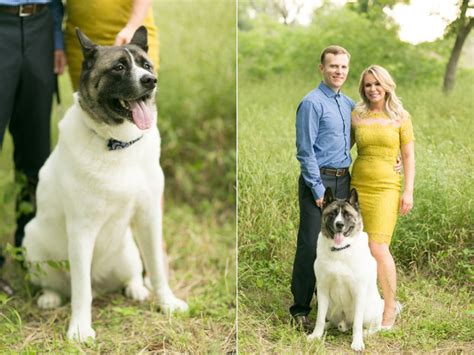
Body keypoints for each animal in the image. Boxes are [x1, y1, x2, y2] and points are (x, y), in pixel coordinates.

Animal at [22, 26, 187, 344]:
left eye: (146, 65)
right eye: (119, 68)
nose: (150, 81)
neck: (118, 143)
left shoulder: (149, 217)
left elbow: (157, 268)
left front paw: (167, 303)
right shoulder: (81, 230)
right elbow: (80, 290)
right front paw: (79, 328)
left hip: (128, 250)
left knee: (131, 274)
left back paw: (136, 288)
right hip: (32, 242)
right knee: (64, 286)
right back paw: (50, 297)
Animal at [308, 188, 386, 352]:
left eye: (347, 215)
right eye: (332, 214)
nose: (339, 224)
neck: (340, 250)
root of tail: (345, 323)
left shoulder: (359, 291)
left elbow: (357, 324)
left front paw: (357, 342)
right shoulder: (322, 289)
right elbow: (319, 317)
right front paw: (316, 335)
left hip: (369, 309)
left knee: (374, 326)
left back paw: (366, 333)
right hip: (331, 307)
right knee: (331, 321)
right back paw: (328, 326)